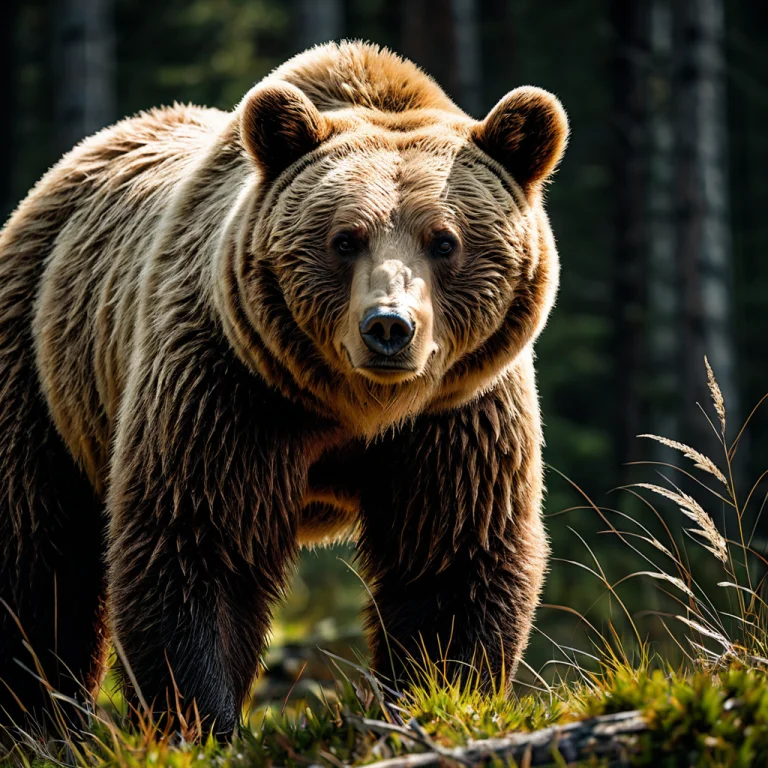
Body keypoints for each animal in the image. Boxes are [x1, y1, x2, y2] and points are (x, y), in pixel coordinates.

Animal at [0, 41, 567, 737]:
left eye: (444, 240)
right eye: (345, 238)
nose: (388, 327)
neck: (354, 407)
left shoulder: (458, 413)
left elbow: (449, 553)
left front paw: (438, 694)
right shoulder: (228, 385)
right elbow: (200, 541)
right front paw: (199, 720)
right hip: (42, 365)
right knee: (40, 559)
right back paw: (38, 722)